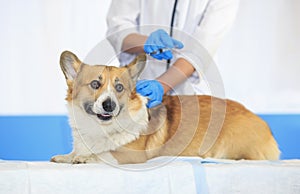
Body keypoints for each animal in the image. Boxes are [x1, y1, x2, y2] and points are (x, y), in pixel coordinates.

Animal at [51, 51, 278, 164]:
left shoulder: (131, 156)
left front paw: (83, 158)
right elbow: (74, 152)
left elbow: (101, 155)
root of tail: (263, 123)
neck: (99, 128)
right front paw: (65, 157)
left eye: (119, 87)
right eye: (95, 84)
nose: (109, 104)